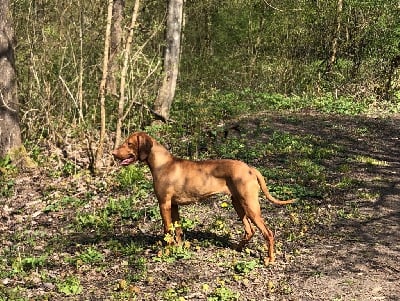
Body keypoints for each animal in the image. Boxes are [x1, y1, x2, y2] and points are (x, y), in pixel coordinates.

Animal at [112, 131, 294, 262]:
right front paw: (179, 247)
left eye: (129, 143)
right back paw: (237, 248)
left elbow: (167, 230)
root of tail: (250, 168)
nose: (113, 153)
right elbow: (178, 230)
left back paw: (270, 259)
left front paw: (167, 251)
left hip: (250, 206)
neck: (162, 164)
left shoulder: (164, 204)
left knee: (268, 233)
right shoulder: (174, 206)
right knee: (250, 231)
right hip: (238, 203)